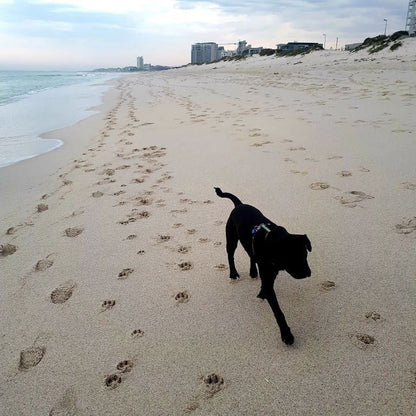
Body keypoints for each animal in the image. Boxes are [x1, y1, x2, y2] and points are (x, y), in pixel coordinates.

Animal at [216, 188, 310, 344]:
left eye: (305, 255)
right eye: (291, 258)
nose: (308, 273)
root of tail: (239, 205)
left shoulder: (271, 273)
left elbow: (265, 286)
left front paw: (261, 293)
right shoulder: (269, 275)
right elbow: (278, 311)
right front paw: (286, 334)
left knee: (251, 255)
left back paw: (253, 272)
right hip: (231, 238)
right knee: (230, 256)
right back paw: (233, 274)